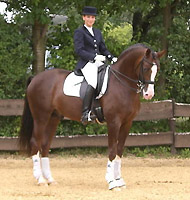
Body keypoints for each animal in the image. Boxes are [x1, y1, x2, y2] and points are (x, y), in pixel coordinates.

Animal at [18, 43, 166, 190]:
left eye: (157, 69)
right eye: (145, 68)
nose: (149, 94)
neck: (122, 82)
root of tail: (35, 78)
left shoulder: (127, 123)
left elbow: (119, 151)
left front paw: (119, 180)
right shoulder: (114, 122)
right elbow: (112, 151)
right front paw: (111, 182)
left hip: (53, 118)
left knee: (45, 145)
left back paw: (50, 179)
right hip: (41, 117)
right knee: (35, 143)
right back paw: (40, 179)